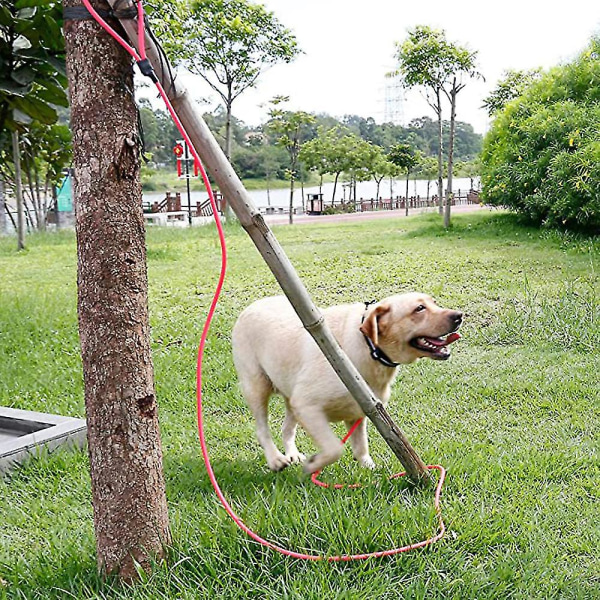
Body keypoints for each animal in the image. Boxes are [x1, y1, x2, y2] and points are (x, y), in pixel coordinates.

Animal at [232, 292, 462, 476]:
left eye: (434, 303)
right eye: (419, 308)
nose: (459, 316)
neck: (369, 348)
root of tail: (252, 305)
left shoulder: (360, 411)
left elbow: (361, 447)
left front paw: (369, 469)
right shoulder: (307, 405)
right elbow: (335, 448)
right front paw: (313, 465)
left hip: (290, 395)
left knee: (286, 428)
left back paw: (292, 455)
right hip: (257, 386)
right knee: (262, 429)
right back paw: (275, 459)